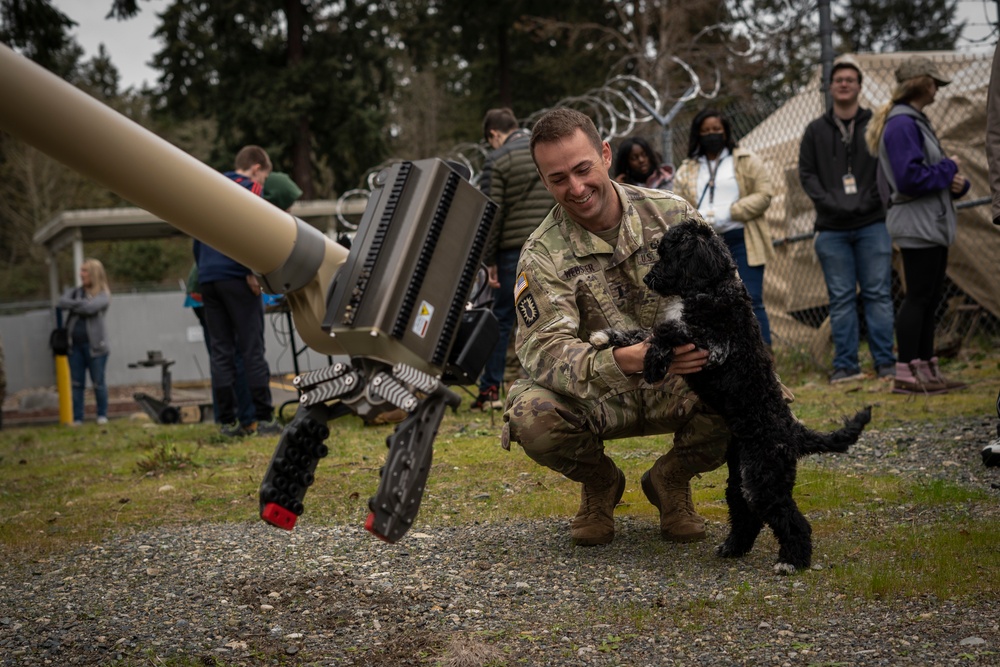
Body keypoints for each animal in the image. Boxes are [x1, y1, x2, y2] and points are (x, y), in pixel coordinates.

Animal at [592, 219, 868, 576]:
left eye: (668, 254)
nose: (649, 279)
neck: (712, 288)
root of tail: (793, 431)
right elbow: (643, 333)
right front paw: (604, 337)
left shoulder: (712, 344)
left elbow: (665, 332)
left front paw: (653, 364)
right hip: (740, 479)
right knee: (748, 515)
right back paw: (733, 548)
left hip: (762, 480)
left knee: (792, 520)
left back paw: (791, 562)